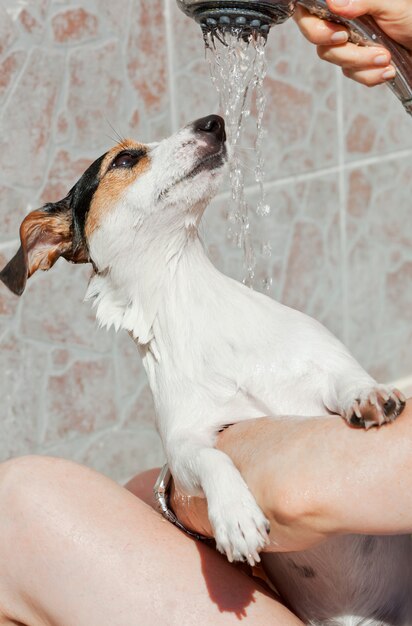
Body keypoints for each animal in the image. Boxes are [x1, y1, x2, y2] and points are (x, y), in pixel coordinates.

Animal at [1, 114, 410, 620]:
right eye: (124, 159)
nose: (213, 121)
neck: (194, 309)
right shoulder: (185, 445)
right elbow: (213, 457)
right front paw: (235, 514)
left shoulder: (325, 362)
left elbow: (349, 377)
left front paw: (369, 395)